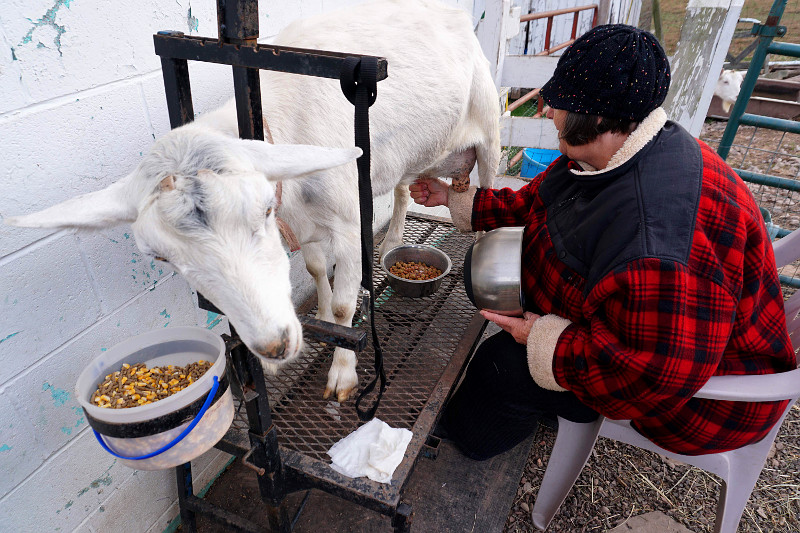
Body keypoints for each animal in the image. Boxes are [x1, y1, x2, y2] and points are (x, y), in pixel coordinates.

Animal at [6, 0, 501, 402]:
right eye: (161, 258)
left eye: (262, 211)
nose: (273, 345)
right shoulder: (306, 221)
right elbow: (317, 272)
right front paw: (318, 324)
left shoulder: (345, 221)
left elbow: (345, 307)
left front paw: (341, 375)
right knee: (401, 184)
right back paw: (393, 239)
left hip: (490, 122)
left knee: (488, 190)